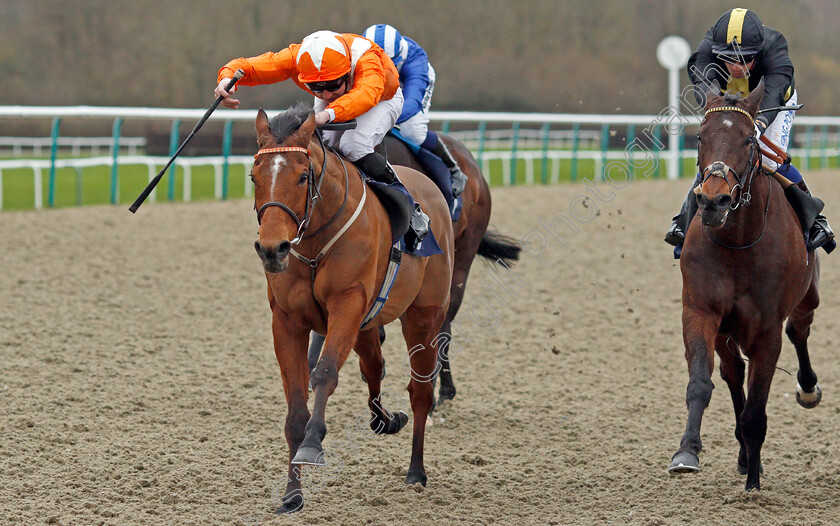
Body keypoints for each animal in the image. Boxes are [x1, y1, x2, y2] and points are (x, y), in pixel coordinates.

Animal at [251, 101, 452, 512]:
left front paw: (313, 443)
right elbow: (296, 406)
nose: (272, 249)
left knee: (420, 391)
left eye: (302, 176)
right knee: (373, 367)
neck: (314, 240)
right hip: (366, 326)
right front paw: (292, 495)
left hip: (424, 316)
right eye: (253, 177)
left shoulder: (347, 303)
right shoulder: (288, 320)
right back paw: (386, 420)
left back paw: (416, 471)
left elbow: (325, 373)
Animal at [672, 80, 824, 492]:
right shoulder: (700, 311)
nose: (713, 200)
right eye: (701, 137)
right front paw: (687, 452)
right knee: (733, 373)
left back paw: (807, 389)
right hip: (727, 331)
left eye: (748, 140)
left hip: (808, 295)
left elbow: (757, 408)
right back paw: (741, 454)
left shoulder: (766, 329)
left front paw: (754, 485)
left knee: (799, 329)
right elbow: (700, 383)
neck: (737, 243)